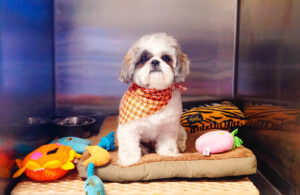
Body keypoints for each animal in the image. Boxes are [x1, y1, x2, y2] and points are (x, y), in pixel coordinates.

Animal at [117, 32, 190, 166]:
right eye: (143, 59)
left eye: (165, 58)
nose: (155, 62)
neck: (154, 94)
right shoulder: (128, 128)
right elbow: (129, 146)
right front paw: (129, 160)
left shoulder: (169, 126)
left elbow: (167, 143)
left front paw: (168, 153)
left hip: (179, 128)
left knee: (182, 135)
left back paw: (180, 145)